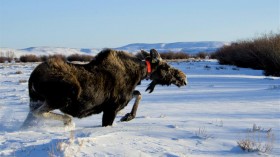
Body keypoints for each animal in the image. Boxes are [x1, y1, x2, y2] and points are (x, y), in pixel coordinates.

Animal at [21, 49, 187, 129]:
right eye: (166, 67)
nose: (183, 78)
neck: (139, 73)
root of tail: (32, 77)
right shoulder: (112, 107)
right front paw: (127, 116)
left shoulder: (124, 98)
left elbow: (138, 94)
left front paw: (127, 116)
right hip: (64, 95)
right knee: (39, 113)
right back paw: (68, 122)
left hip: (36, 99)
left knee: (29, 118)